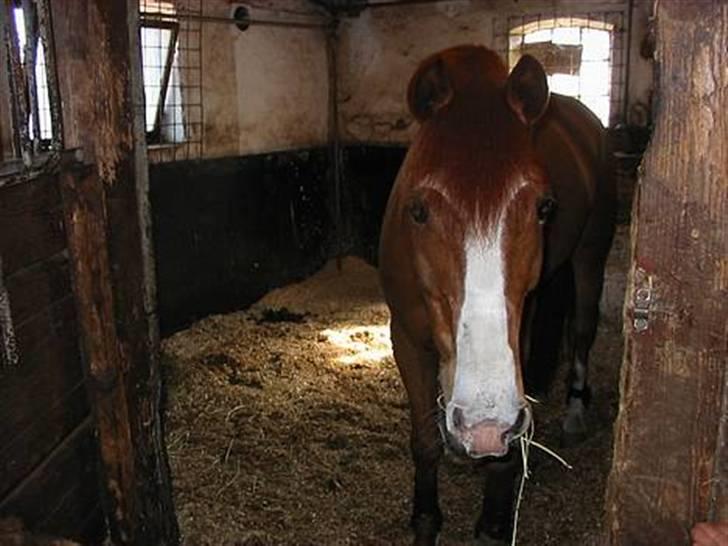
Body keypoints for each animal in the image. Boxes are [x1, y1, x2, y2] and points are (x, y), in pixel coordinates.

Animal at [378, 45, 616, 545]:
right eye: (417, 210)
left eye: (544, 207)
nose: (485, 427)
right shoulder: (404, 338)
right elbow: (424, 441)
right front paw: (425, 520)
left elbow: (501, 464)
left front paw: (492, 521)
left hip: (591, 254)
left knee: (582, 330)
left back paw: (574, 414)